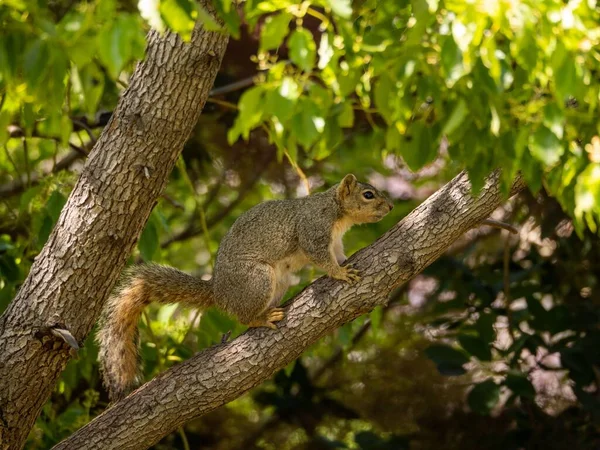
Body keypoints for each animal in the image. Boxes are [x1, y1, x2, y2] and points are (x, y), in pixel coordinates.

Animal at [97, 173, 394, 400]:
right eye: (368, 194)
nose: (390, 207)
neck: (337, 211)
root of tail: (219, 292)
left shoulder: (335, 241)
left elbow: (338, 253)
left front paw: (344, 264)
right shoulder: (314, 227)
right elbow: (319, 255)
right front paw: (340, 273)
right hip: (257, 280)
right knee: (243, 317)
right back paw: (261, 318)